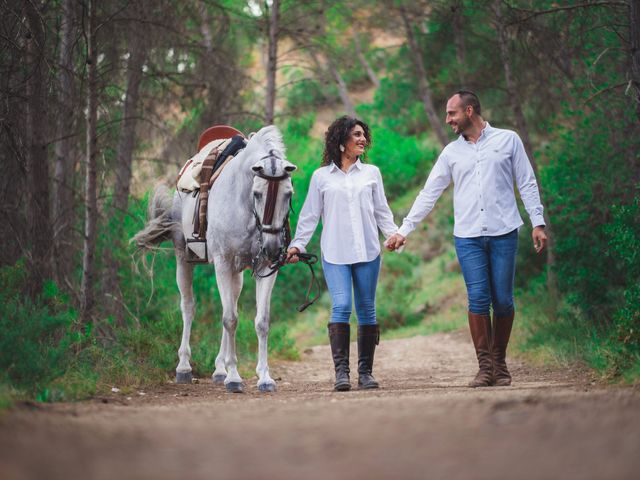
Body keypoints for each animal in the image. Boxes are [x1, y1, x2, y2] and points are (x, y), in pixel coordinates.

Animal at [134, 125, 298, 392]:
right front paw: (234, 378)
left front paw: (264, 377)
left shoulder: (264, 268)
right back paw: (184, 367)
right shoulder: (222, 263)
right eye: (257, 193)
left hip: (237, 273)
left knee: (228, 304)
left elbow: (260, 321)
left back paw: (220, 369)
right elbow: (229, 319)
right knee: (189, 307)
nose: (273, 248)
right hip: (184, 259)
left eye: (289, 193)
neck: (244, 207)